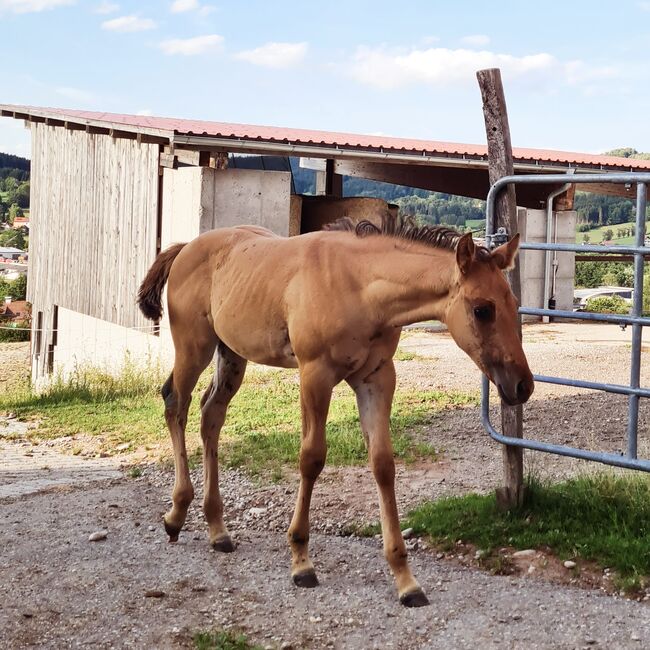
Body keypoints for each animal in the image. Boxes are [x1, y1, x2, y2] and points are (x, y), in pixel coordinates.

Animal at [137, 216, 532, 604]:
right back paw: (176, 514)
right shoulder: (315, 375)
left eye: (514, 302)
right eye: (482, 309)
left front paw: (405, 579)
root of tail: (185, 248)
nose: (522, 386)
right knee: (176, 404)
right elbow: (311, 458)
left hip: (232, 353)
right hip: (195, 347)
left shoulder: (377, 379)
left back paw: (218, 529)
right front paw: (301, 561)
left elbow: (383, 464)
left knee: (211, 416)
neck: (359, 287)